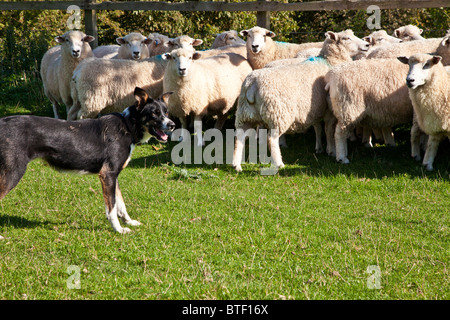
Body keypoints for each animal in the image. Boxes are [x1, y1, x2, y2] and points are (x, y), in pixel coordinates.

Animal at [0, 86, 175, 234]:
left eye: (166, 112)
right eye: (154, 113)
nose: (172, 125)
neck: (127, 126)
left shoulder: (114, 176)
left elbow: (121, 204)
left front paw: (129, 222)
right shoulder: (108, 175)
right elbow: (111, 209)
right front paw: (118, 230)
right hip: (12, 174)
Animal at [232, 28, 370, 171]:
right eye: (346, 38)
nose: (367, 44)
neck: (329, 61)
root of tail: (251, 83)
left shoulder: (316, 107)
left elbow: (318, 128)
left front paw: (320, 148)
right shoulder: (330, 109)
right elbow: (329, 130)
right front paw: (331, 150)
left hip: (244, 115)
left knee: (239, 138)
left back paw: (237, 165)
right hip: (277, 114)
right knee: (271, 139)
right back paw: (279, 163)